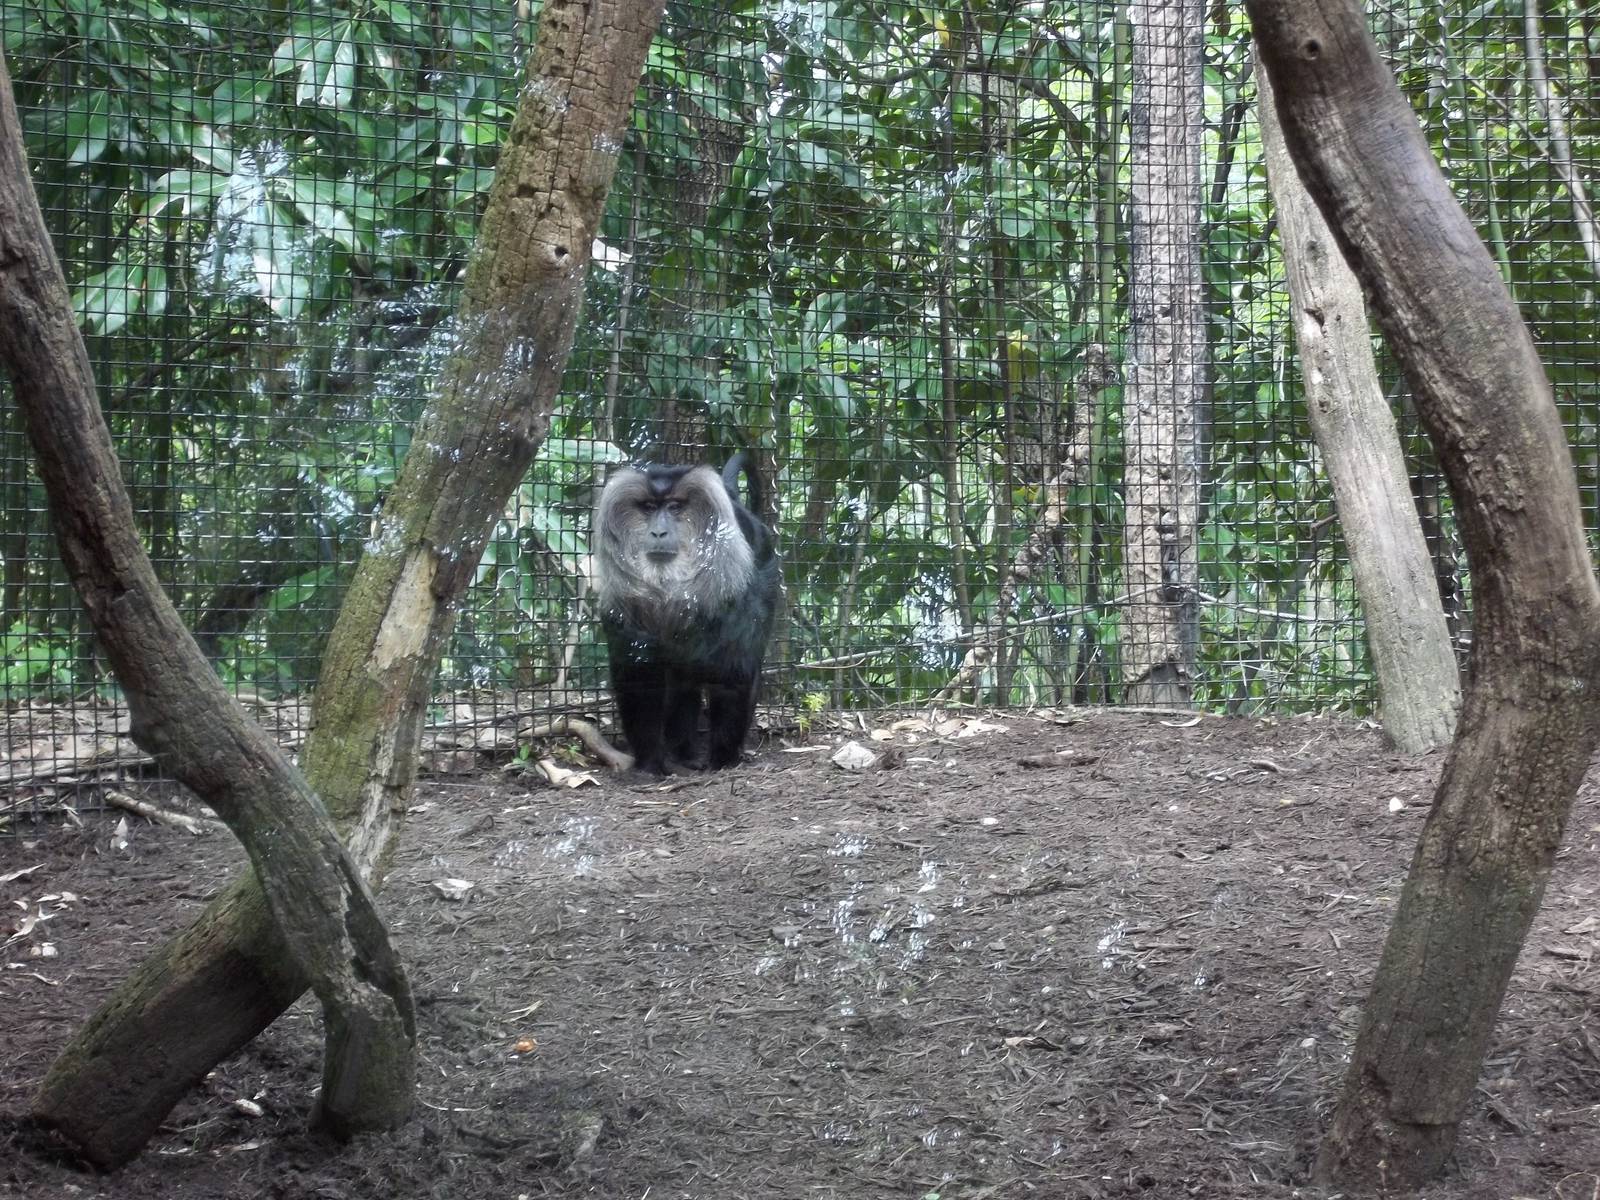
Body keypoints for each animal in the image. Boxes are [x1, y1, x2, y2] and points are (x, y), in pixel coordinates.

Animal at [592, 453, 779, 774]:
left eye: (675, 507)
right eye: (649, 508)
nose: (658, 532)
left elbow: (732, 673)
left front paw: (723, 760)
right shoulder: (625, 610)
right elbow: (641, 676)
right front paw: (650, 765)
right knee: (682, 684)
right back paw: (684, 754)